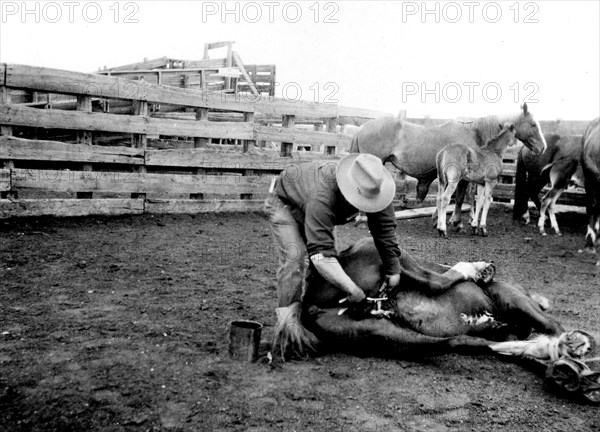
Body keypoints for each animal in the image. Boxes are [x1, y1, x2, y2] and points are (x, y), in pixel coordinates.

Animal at [274, 236, 596, 402]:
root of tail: (310, 299)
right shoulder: (515, 301)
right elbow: (551, 326)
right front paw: (572, 346)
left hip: (383, 334)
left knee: (458, 342)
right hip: (381, 250)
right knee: (434, 282)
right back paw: (477, 269)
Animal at [350, 104, 548, 233]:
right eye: (533, 124)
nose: (543, 148)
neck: (475, 133)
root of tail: (362, 128)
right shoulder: (463, 178)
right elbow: (461, 197)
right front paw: (457, 221)